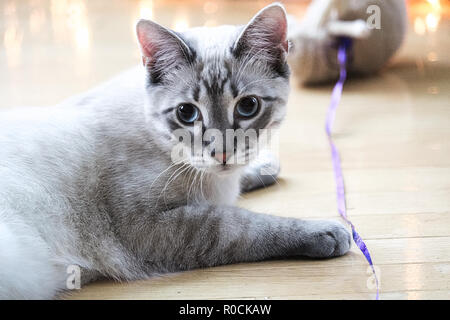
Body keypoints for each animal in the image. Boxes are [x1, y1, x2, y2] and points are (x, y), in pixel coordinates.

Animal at [0, 3, 350, 300]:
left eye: (248, 106)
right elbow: (240, 224)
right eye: (186, 113)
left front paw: (261, 167)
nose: (222, 153)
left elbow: (236, 184)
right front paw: (327, 232)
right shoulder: (151, 226)